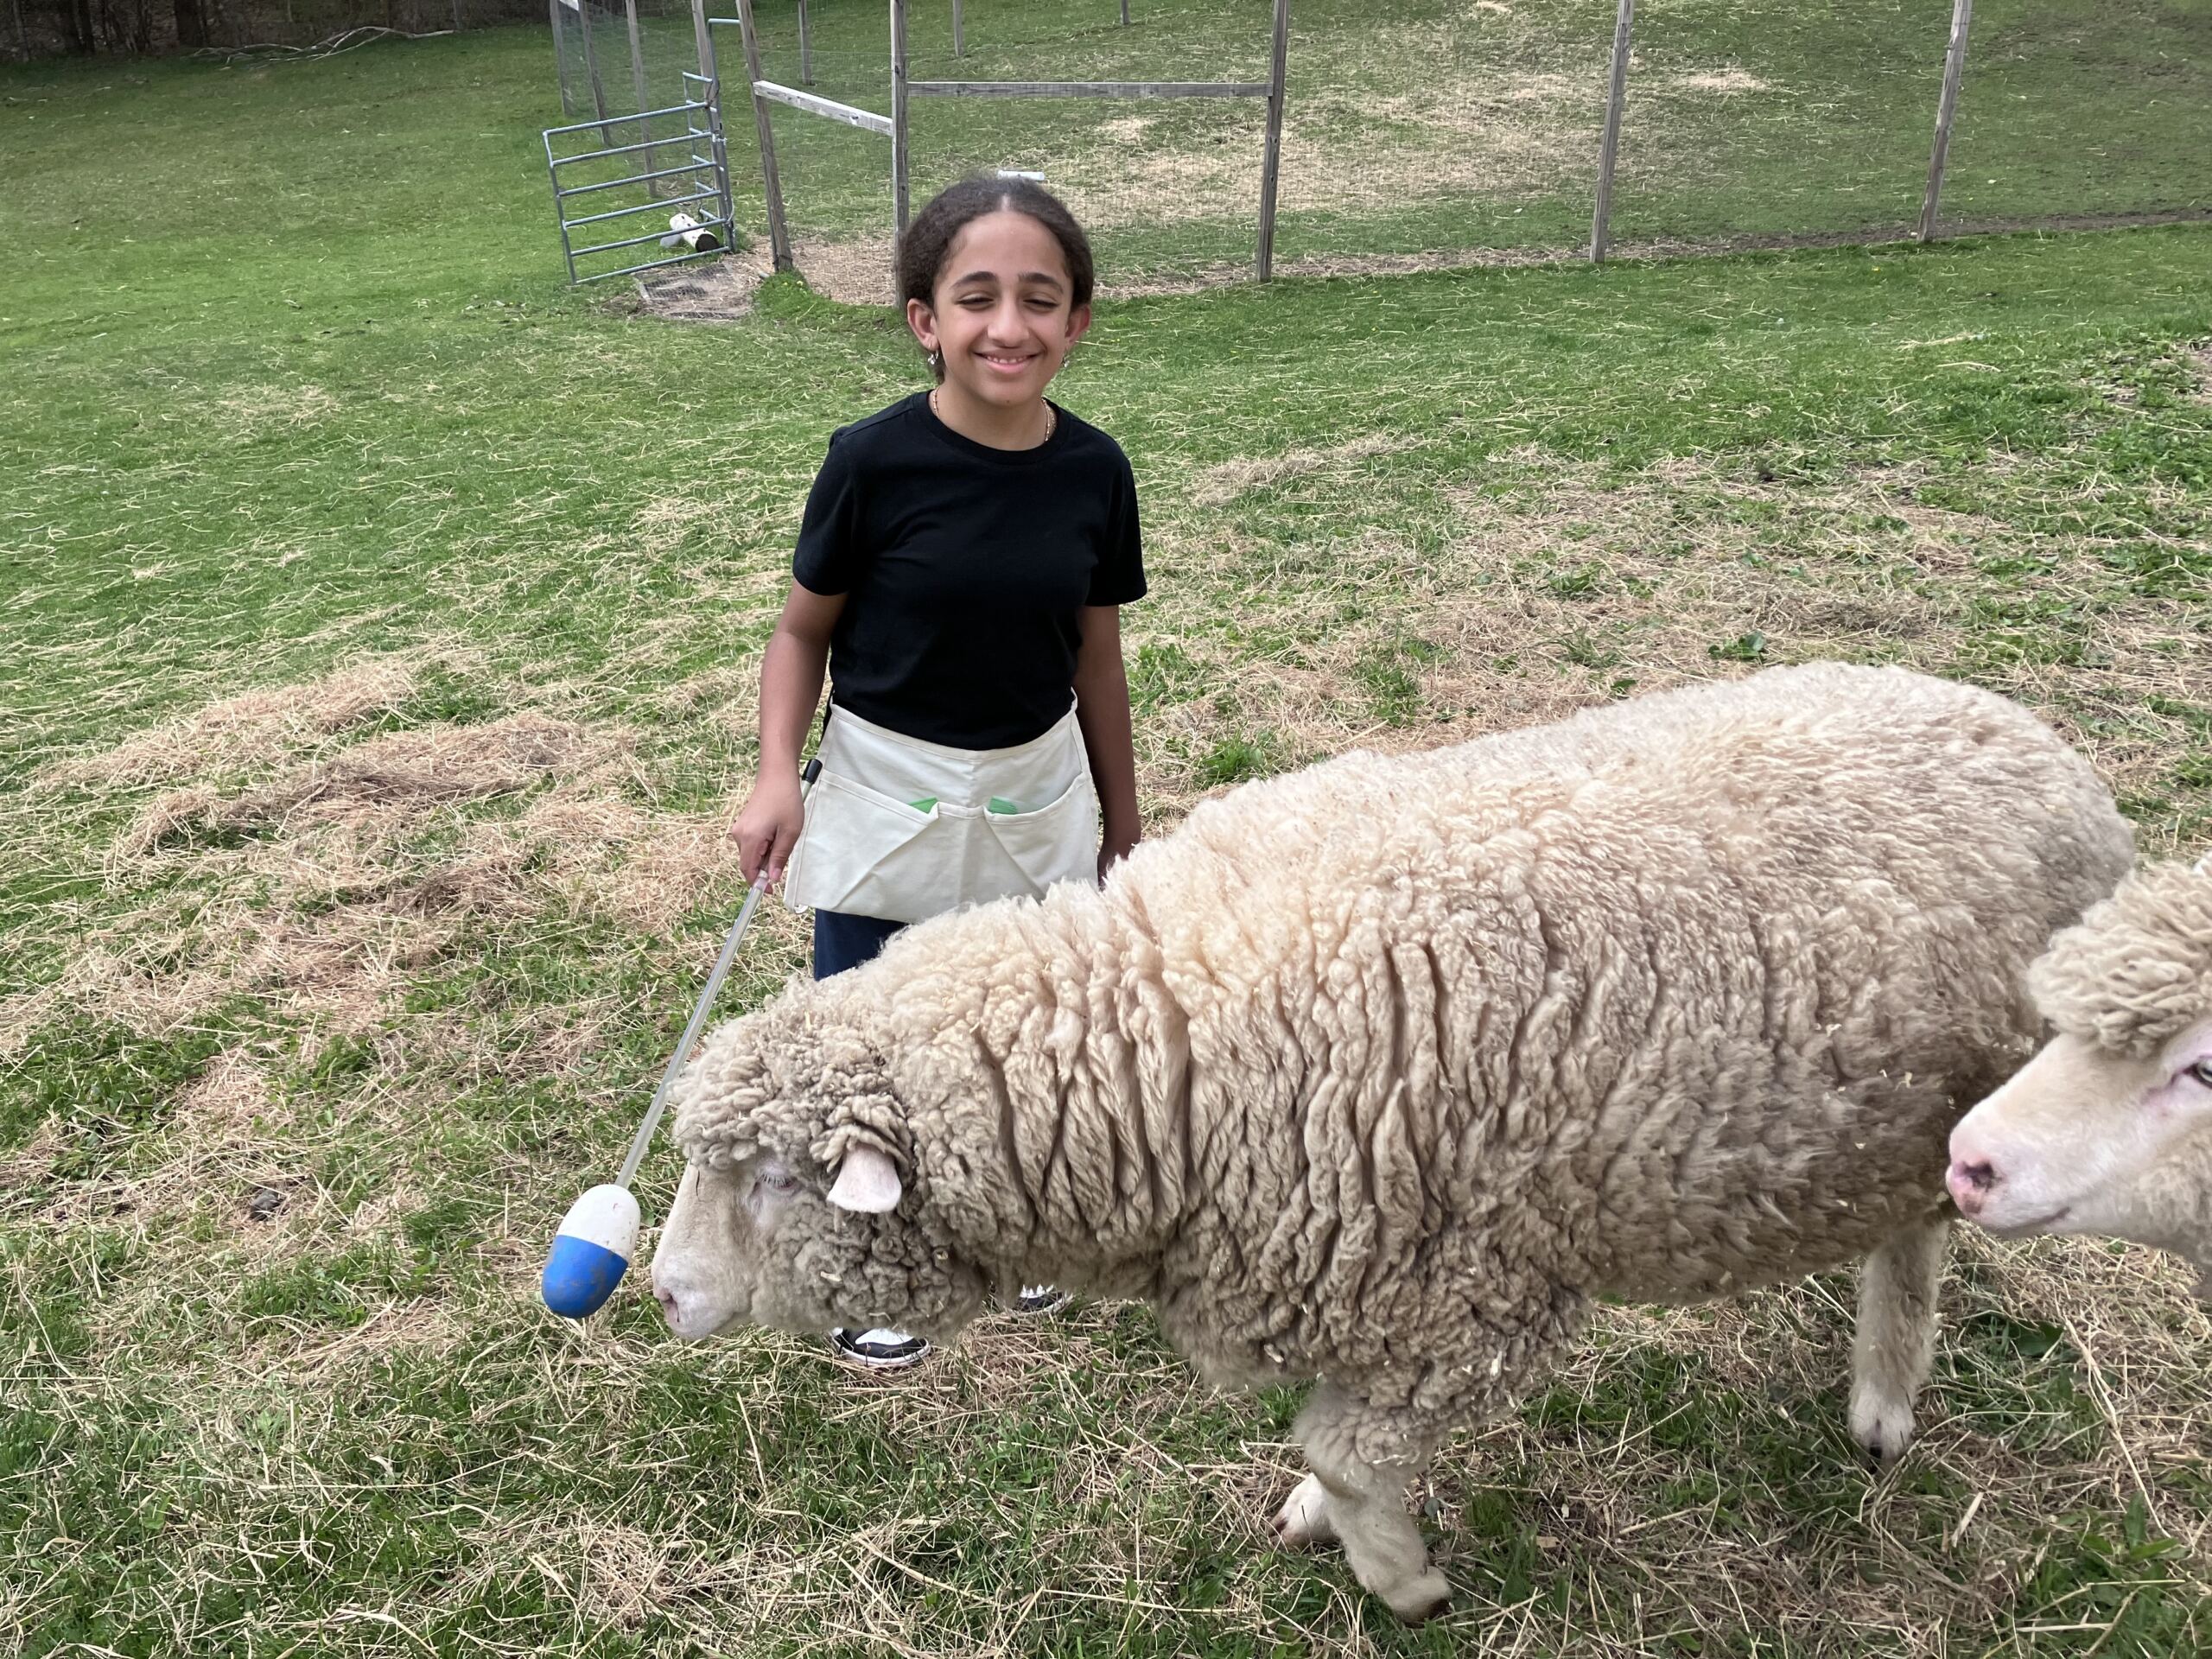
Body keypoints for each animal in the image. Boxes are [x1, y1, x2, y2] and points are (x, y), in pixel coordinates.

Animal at [650, 662, 2131, 1621]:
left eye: (768, 1179)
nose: (660, 1293)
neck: (1161, 1035)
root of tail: (2043, 747)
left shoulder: (1470, 1298)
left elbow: (1351, 1450)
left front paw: (1401, 1577)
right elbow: (1331, 1441)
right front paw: (1327, 1523)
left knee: (1918, 1246)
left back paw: (1883, 1401)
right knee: (1908, 1226)